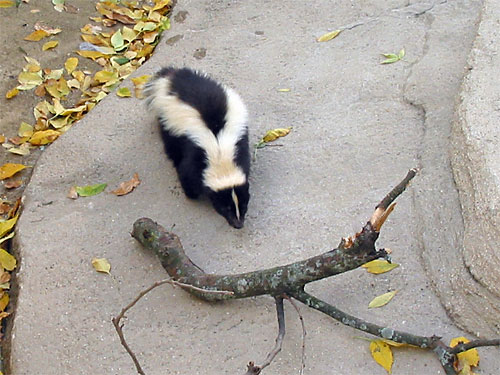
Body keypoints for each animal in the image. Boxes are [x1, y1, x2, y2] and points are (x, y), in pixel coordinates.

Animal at [145, 67, 250, 229]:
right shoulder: (194, 152)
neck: (219, 151)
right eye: (224, 207)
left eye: (244, 205)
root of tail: (172, 79)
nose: (238, 224)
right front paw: (191, 194)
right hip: (169, 127)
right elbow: (186, 173)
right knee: (171, 148)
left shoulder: (239, 144)